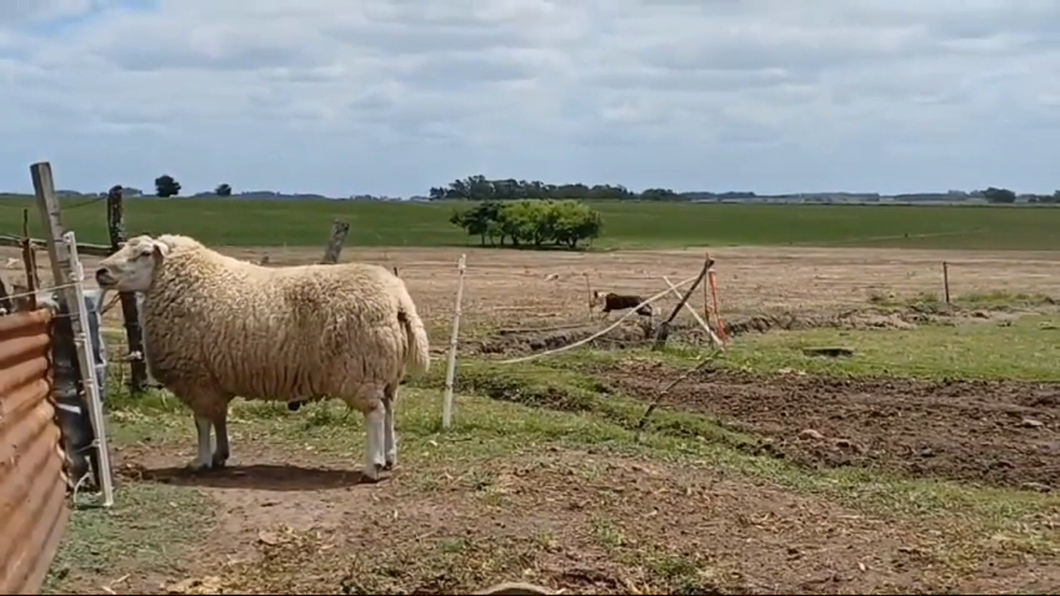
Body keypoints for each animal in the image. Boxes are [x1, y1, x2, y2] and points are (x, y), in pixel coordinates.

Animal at [95, 232, 430, 477]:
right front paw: (220, 455)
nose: (100, 271)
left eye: (144, 253)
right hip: (386, 373)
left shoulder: (196, 377)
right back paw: (389, 457)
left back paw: (372, 466)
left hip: (361, 368)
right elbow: (219, 417)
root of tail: (399, 299)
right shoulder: (214, 380)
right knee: (389, 410)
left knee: (375, 414)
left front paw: (200, 461)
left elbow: (201, 422)